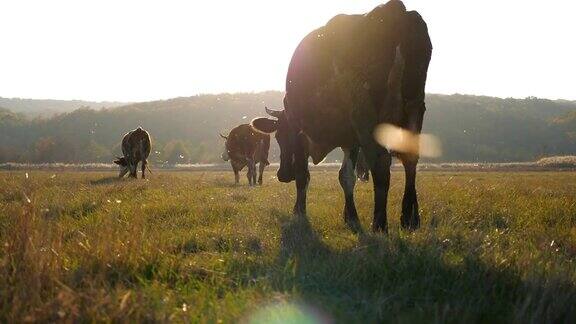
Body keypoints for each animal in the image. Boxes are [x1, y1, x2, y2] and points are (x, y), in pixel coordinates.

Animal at [252, 0, 432, 233]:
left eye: (279, 137)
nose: (282, 175)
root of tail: (393, 10)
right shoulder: (350, 138)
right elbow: (345, 177)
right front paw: (350, 217)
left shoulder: (300, 130)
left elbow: (303, 175)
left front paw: (299, 213)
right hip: (414, 108)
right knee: (410, 159)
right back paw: (410, 218)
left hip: (366, 115)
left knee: (380, 163)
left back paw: (380, 224)